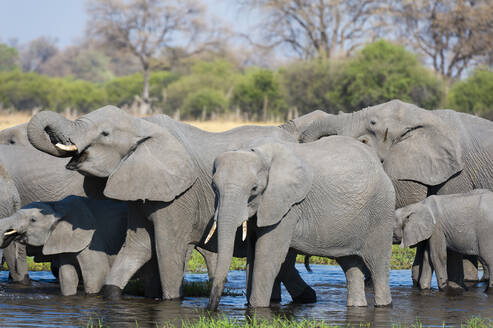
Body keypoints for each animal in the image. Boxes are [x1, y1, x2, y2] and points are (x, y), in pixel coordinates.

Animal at [0, 196, 133, 296]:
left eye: (33, 220)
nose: (8, 235)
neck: (57, 207)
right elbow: (67, 275)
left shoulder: (92, 238)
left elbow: (97, 273)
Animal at [25, 106, 320, 302]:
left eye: (105, 133)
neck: (141, 125)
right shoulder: (140, 186)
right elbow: (139, 247)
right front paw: (115, 295)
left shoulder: (179, 196)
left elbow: (167, 249)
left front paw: (169, 302)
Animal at [206, 136, 394, 310]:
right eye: (214, 186)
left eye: (254, 189)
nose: (211, 310)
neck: (261, 154)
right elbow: (252, 254)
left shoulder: (288, 207)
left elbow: (267, 256)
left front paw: (257, 308)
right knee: (350, 264)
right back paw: (357, 306)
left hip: (381, 212)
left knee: (378, 265)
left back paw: (383, 305)